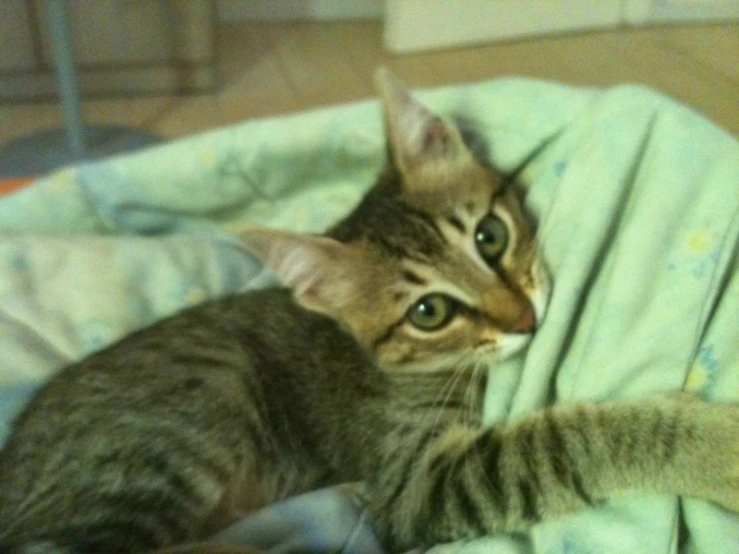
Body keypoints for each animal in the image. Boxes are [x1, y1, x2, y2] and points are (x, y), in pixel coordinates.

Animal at [1, 69, 739, 552]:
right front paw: (716, 448)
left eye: (489, 236)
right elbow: (569, 442)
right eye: (429, 312)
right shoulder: (413, 483)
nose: (524, 320)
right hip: (169, 439)